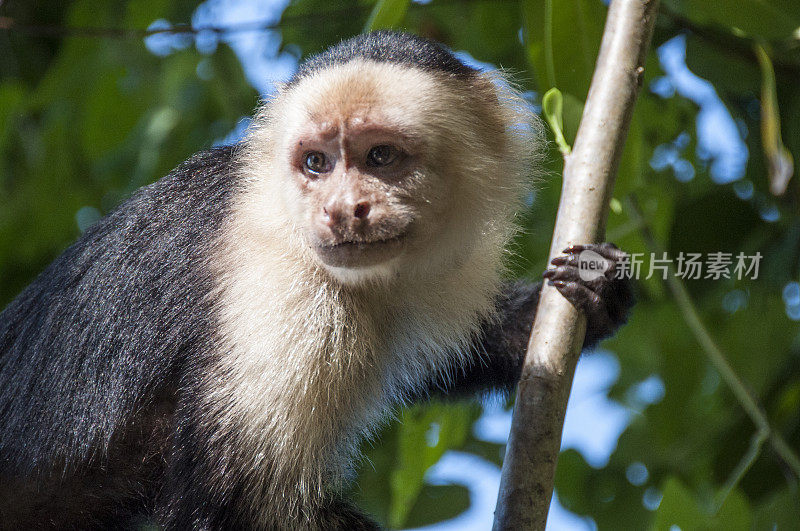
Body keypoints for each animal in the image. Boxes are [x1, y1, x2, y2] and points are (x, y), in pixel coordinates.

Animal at [1, 31, 636, 528]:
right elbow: (245, 500)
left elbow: (461, 347)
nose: (339, 211)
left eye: (380, 156)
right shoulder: (278, 284)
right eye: (316, 163)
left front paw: (597, 289)